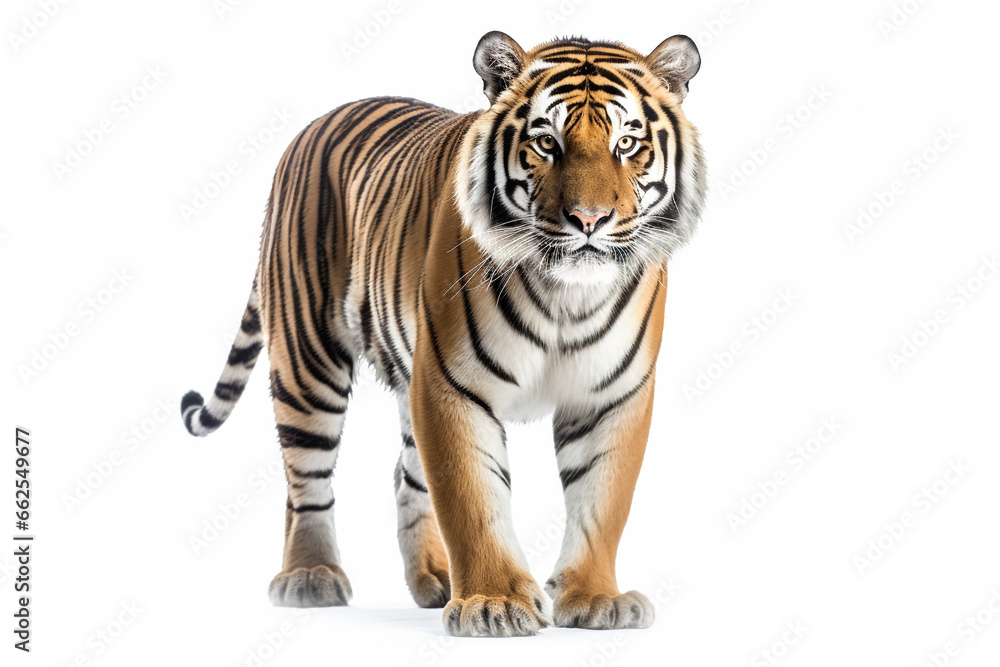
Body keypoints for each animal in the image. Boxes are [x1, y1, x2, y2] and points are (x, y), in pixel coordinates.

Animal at [181, 31, 706, 637]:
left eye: (627, 144)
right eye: (546, 142)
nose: (590, 219)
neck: (566, 297)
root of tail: (314, 124)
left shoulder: (612, 394)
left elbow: (602, 501)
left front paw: (596, 599)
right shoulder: (452, 385)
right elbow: (471, 498)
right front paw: (494, 603)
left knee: (404, 475)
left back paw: (432, 578)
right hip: (307, 357)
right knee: (305, 477)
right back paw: (309, 577)